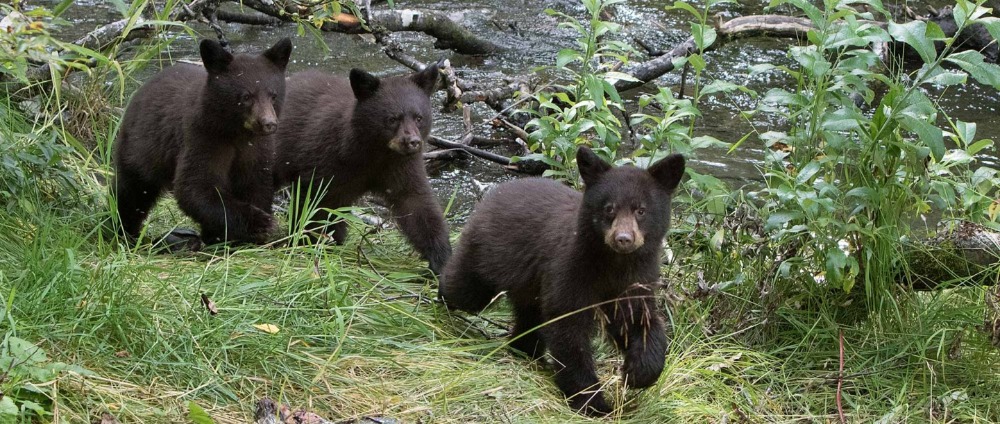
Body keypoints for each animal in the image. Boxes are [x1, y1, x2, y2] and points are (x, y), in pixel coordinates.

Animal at [115, 38, 292, 247]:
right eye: (247, 96)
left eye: (273, 95)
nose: (268, 123)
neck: (237, 133)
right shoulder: (203, 138)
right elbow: (195, 186)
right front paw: (260, 223)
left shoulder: (257, 149)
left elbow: (256, 184)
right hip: (139, 149)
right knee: (131, 192)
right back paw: (124, 231)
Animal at [270, 63, 450, 274]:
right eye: (392, 118)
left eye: (419, 117)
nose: (412, 142)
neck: (375, 153)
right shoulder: (325, 159)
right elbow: (315, 202)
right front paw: (308, 242)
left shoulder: (401, 167)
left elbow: (417, 204)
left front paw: (441, 258)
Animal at [442, 146, 684, 414]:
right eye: (609, 208)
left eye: (641, 210)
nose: (623, 239)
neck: (613, 264)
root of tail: (494, 193)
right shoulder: (571, 271)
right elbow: (568, 330)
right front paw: (593, 402)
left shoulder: (636, 279)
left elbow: (639, 320)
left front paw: (639, 371)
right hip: (487, 255)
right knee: (464, 289)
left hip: (528, 285)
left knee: (529, 316)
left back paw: (524, 349)